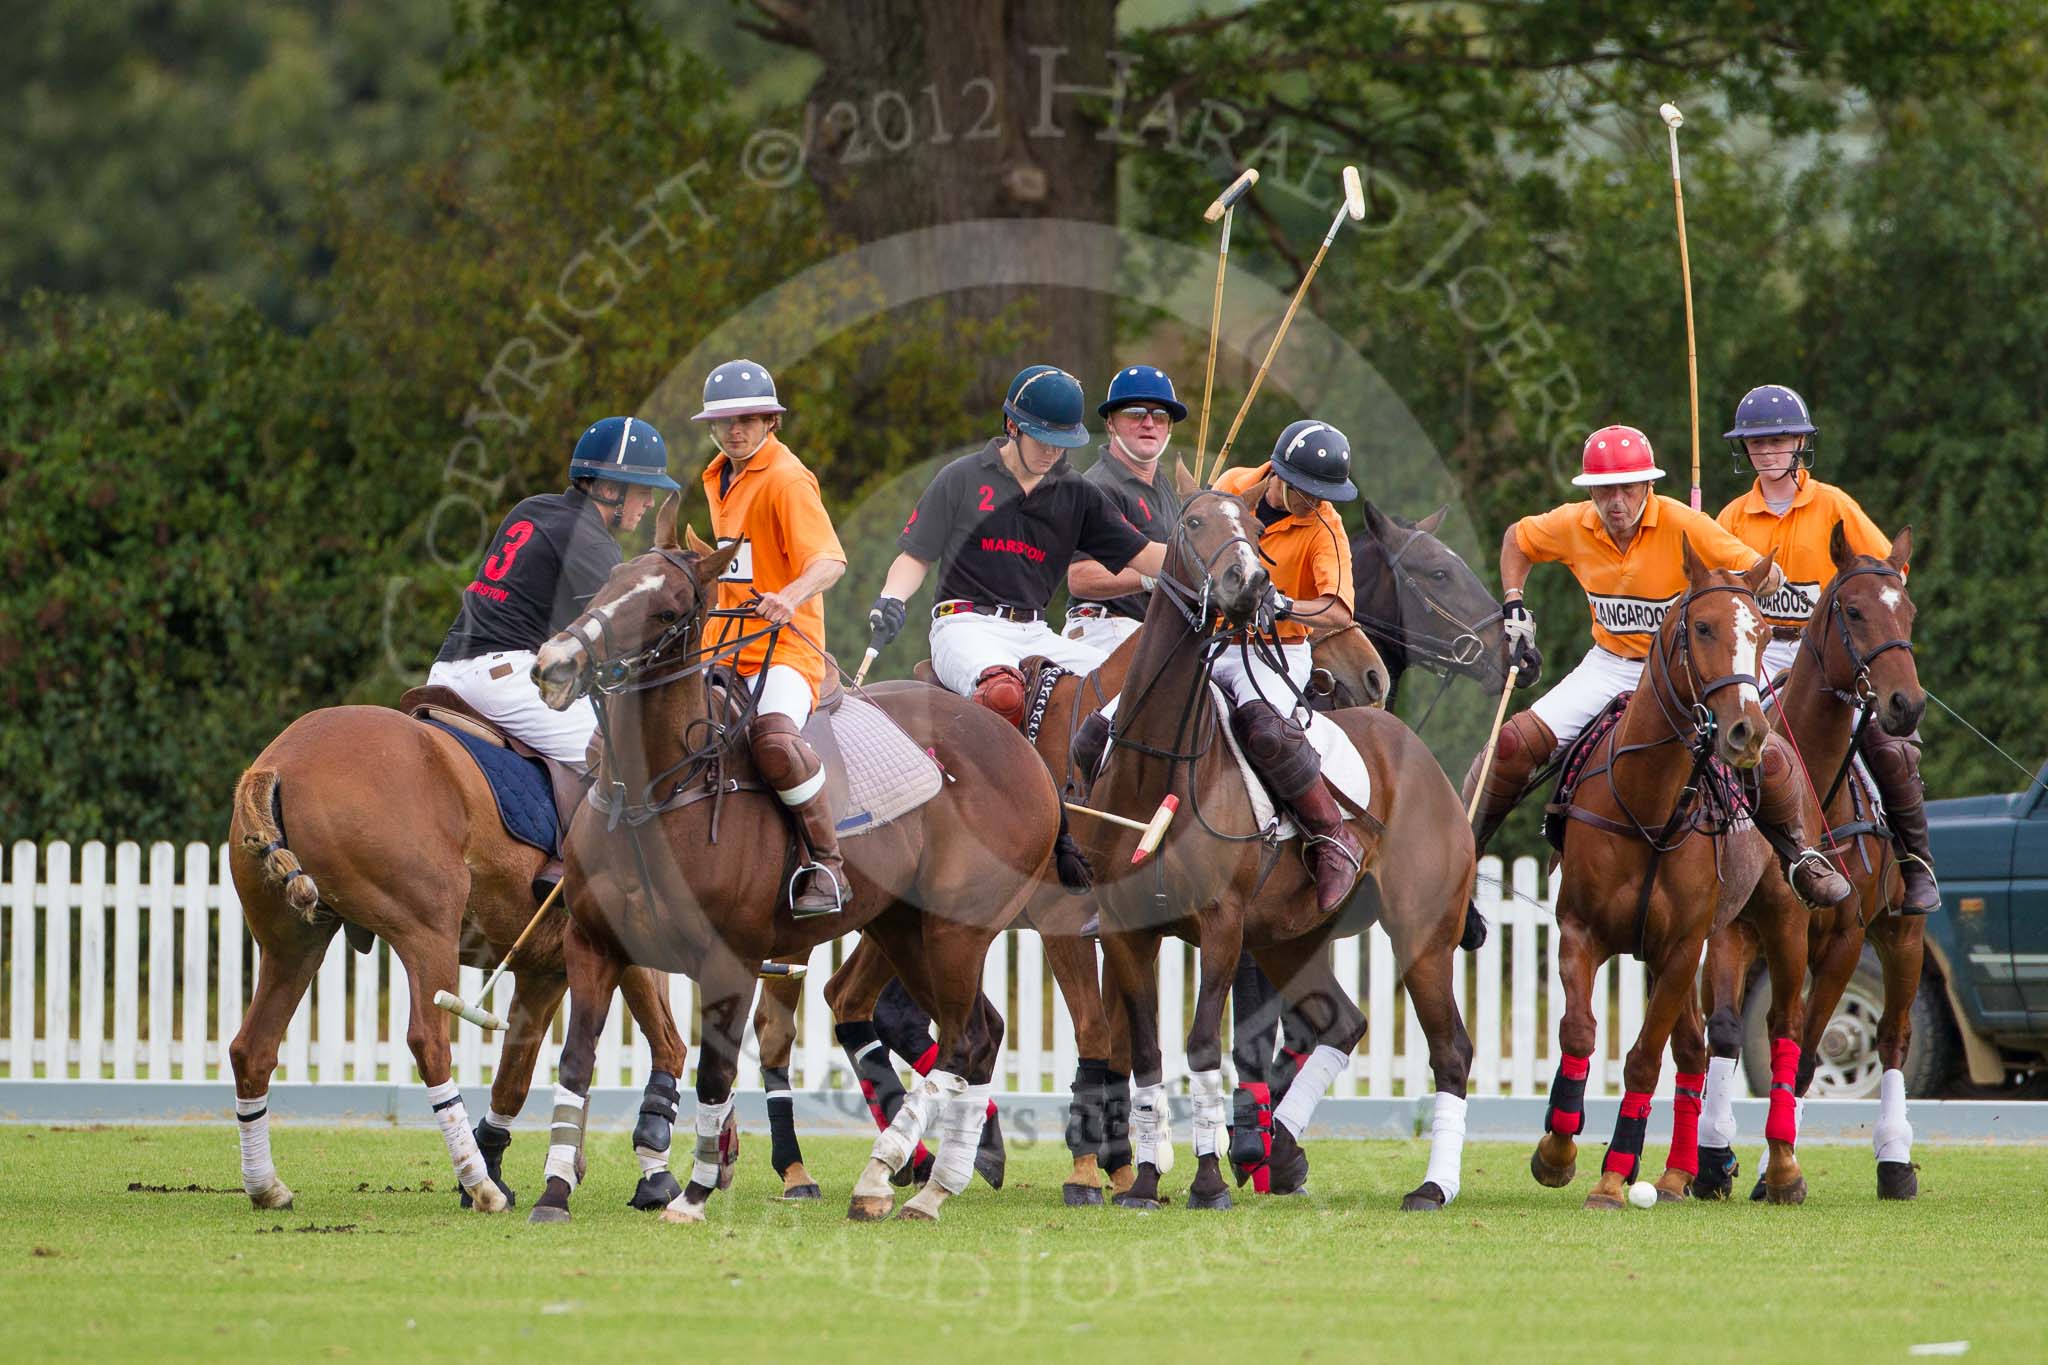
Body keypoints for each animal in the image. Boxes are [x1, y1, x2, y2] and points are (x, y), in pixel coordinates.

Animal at [227, 712, 684, 1211]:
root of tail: (276, 764)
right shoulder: (620, 944)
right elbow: (670, 1045)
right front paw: (656, 1176)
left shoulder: (543, 970)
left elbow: (514, 1077)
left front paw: (504, 1163)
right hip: (428, 927)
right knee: (429, 1043)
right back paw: (480, 1185)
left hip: (293, 944)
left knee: (252, 1049)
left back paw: (267, 1187)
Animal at [520, 499, 1064, 1227]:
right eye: (611, 580)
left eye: (667, 610)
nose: (554, 664)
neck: (654, 793)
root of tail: (1021, 750)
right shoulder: (594, 943)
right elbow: (575, 1063)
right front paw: (554, 1192)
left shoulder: (731, 959)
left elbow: (716, 1076)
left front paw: (693, 1196)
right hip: (904, 926)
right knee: (980, 1033)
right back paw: (924, 1180)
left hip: (962, 926)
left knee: (963, 1037)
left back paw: (902, 1180)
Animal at [1531, 540, 1802, 1203]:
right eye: (1702, 627)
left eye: (1762, 634)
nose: (1746, 734)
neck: (1649, 804)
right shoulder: (1581, 931)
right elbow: (1579, 1032)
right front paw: (1557, 1150)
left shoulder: (1680, 947)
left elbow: (1644, 1057)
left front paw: (1611, 1176)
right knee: (1696, 1049)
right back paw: (1679, 1174)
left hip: (1781, 924)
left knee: (1783, 1027)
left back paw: (1783, 1169)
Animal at [1687, 527, 1925, 1203]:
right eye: (1854, 611)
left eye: (1909, 612)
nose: (1906, 705)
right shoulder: (1734, 931)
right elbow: (1727, 1031)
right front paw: (1713, 1162)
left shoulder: (1844, 938)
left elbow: (1811, 1046)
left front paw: (1777, 1168)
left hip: (1902, 932)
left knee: (1893, 1035)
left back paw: (1894, 1162)